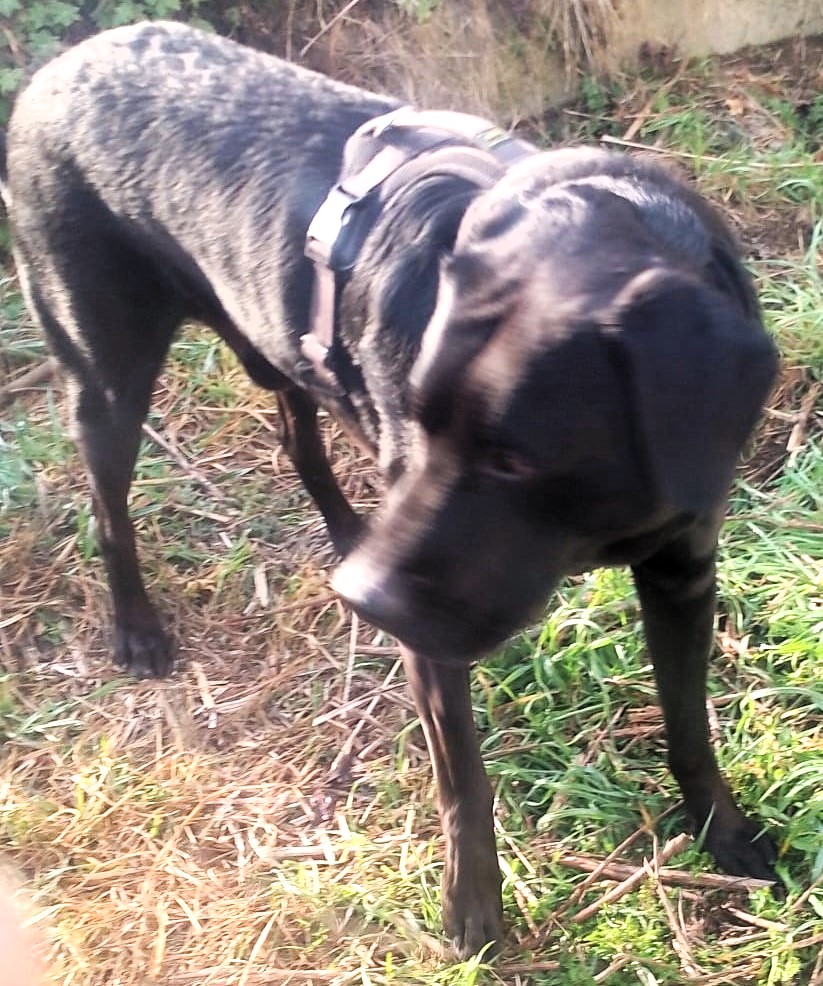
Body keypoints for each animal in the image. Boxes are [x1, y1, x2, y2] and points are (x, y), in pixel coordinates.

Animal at [3, 21, 779, 957]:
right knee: (107, 504)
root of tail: (61, 63)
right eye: (423, 414)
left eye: (514, 458)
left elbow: (690, 725)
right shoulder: (434, 634)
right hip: (105, 375)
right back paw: (139, 629)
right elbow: (464, 787)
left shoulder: (681, 571)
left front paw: (723, 833)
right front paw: (472, 915)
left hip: (272, 346)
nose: (364, 598)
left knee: (296, 437)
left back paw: (345, 534)